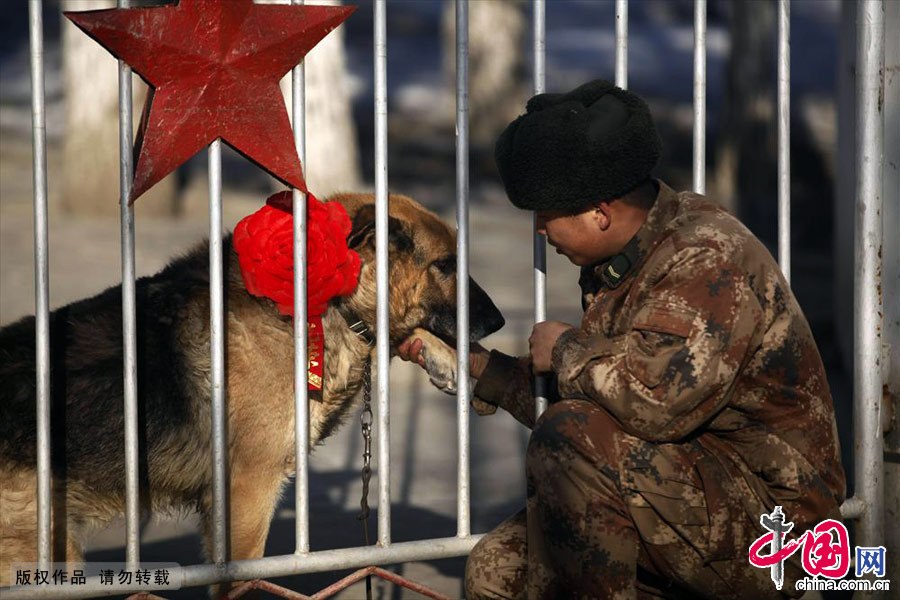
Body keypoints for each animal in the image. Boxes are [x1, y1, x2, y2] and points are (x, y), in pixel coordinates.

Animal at [0, 193, 506, 592]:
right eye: (444, 266)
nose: (500, 322)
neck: (322, 296)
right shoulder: (248, 490)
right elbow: (242, 578)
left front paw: (451, 359)